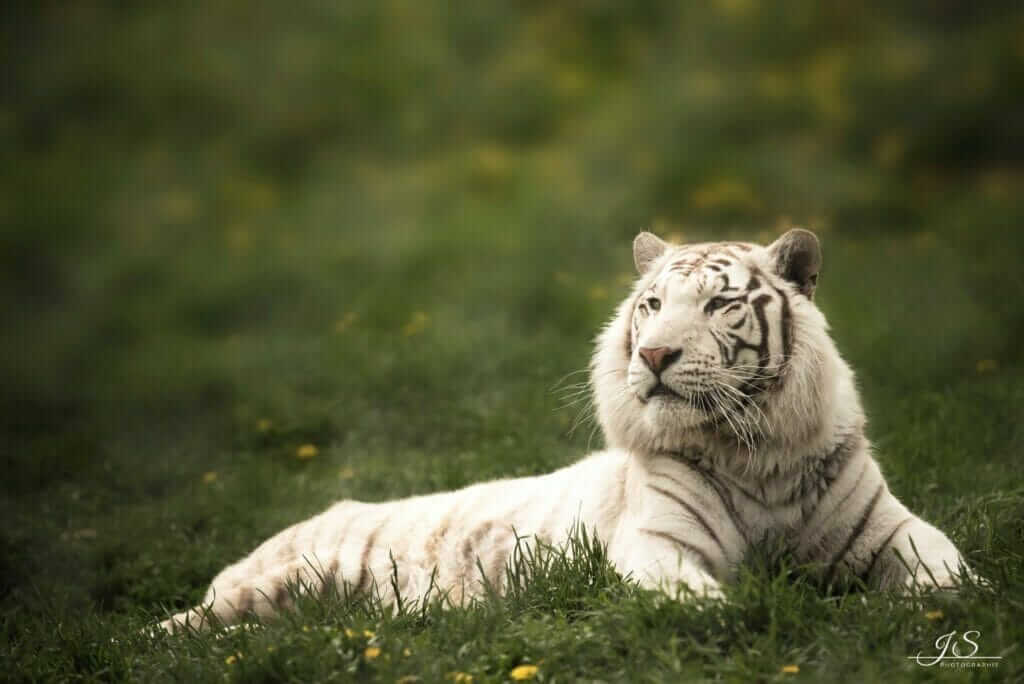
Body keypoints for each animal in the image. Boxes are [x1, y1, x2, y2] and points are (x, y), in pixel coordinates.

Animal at [156, 229, 970, 632]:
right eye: (651, 305)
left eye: (717, 305)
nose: (654, 355)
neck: (755, 454)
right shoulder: (660, 544)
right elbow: (702, 600)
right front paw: (751, 613)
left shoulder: (892, 528)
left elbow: (953, 572)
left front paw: (939, 606)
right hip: (265, 586)